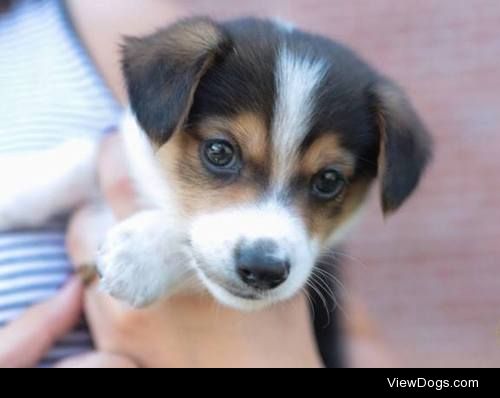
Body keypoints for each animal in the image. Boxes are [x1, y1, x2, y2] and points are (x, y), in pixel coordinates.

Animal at [0, 17, 430, 366]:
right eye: (219, 151)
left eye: (328, 180)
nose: (263, 270)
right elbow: (84, 156)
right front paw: (14, 186)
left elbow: (188, 243)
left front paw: (139, 255)